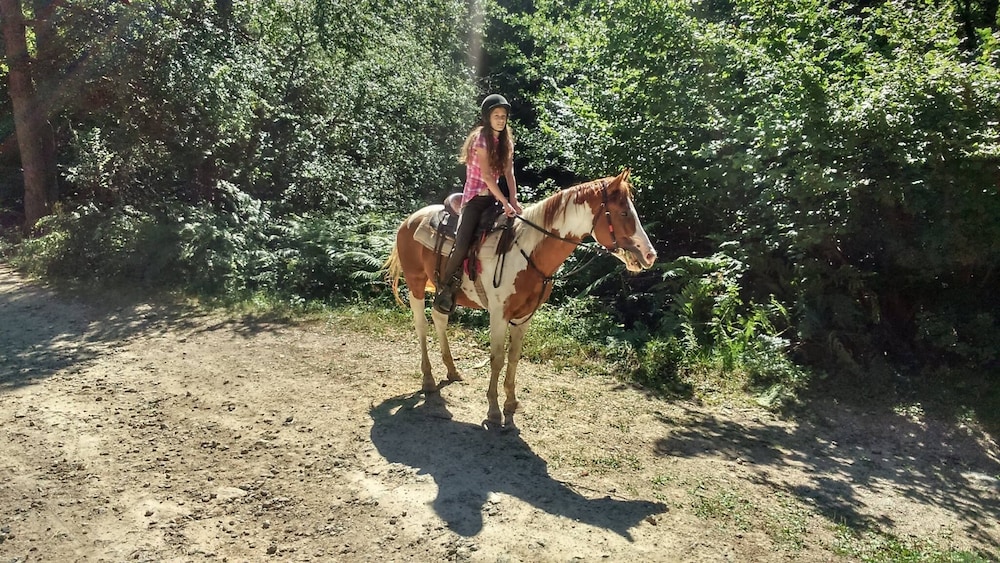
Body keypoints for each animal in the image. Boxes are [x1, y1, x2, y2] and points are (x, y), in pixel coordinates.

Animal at [384, 169, 657, 429]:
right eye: (623, 213)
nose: (650, 255)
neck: (527, 252)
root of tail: (410, 220)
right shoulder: (498, 315)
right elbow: (497, 359)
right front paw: (494, 411)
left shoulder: (524, 317)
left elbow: (514, 357)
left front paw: (511, 402)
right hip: (416, 284)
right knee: (421, 326)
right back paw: (428, 379)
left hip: (444, 293)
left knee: (439, 318)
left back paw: (452, 371)